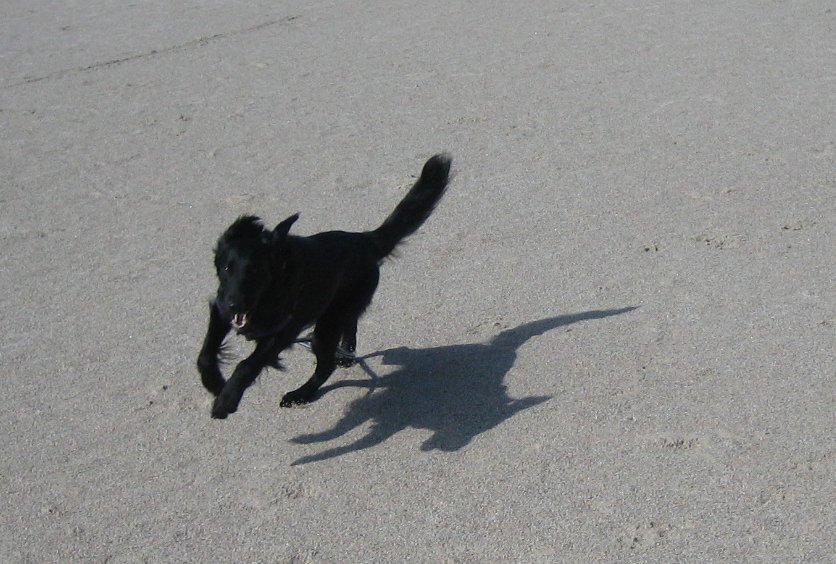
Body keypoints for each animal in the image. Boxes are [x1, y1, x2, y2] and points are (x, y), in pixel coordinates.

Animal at [197, 154, 452, 419]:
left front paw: (226, 399)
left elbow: (246, 365)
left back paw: (301, 394)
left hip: (328, 323)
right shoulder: (220, 308)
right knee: (350, 324)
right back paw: (345, 354)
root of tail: (366, 240)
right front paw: (214, 382)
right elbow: (205, 354)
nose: (235, 303)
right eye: (227, 268)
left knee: (327, 364)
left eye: (255, 271)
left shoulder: (283, 331)